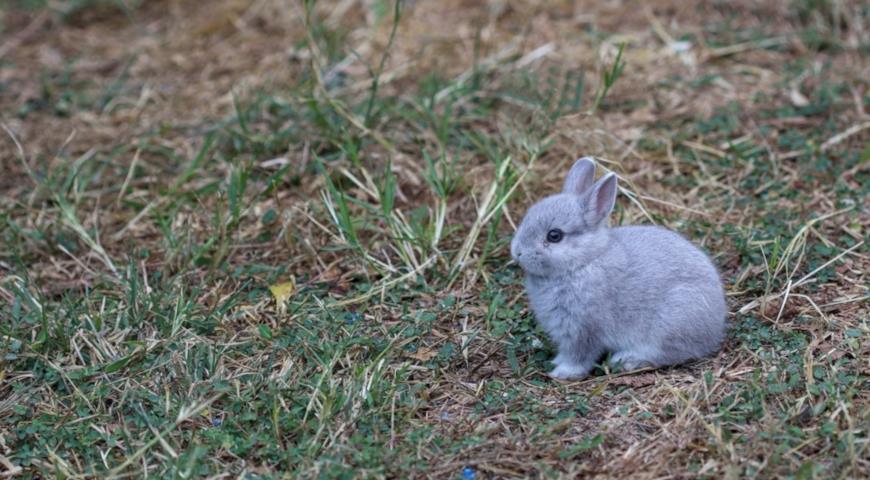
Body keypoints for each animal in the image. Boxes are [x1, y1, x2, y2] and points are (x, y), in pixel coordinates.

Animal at [510, 158, 728, 378]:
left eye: (554, 236)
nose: (517, 252)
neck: (584, 262)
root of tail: (716, 326)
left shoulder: (583, 328)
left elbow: (580, 356)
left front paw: (562, 373)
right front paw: (557, 362)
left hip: (670, 323)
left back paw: (627, 360)